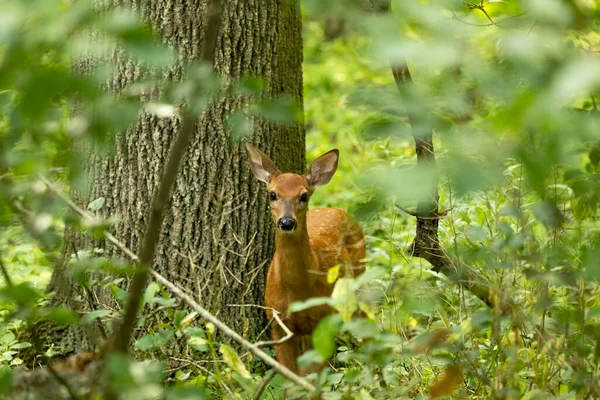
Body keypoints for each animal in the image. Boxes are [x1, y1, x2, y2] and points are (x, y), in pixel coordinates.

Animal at [245, 144, 366, 376]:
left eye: (304, 196)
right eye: (272, 194)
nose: (286, 222)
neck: (296, 290)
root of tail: (337, 208)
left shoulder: (320, 321)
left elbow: (311, 375)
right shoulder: (277, 323)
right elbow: (291, 375)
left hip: (358, 277)